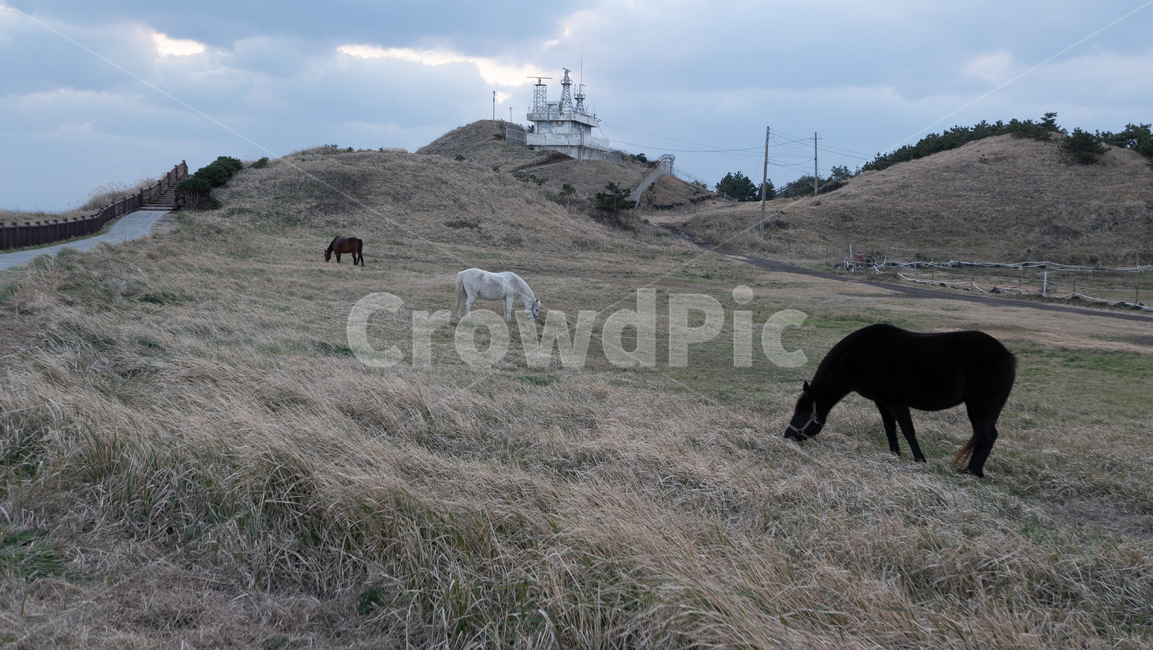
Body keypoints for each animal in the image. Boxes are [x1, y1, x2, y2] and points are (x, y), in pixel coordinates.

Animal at [784, 323, 1015, 478]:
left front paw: (919, 460)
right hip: (979, 409)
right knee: (983, 436)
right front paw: (894, 454)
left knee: (988, 436)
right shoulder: (881, 402)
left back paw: (972, 472)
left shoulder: (895, 401)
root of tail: (1008, 356)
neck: (862, 357)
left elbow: (907, 429)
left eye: (803, 413)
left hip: (981, 408)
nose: (787, 436)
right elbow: (890, 427)